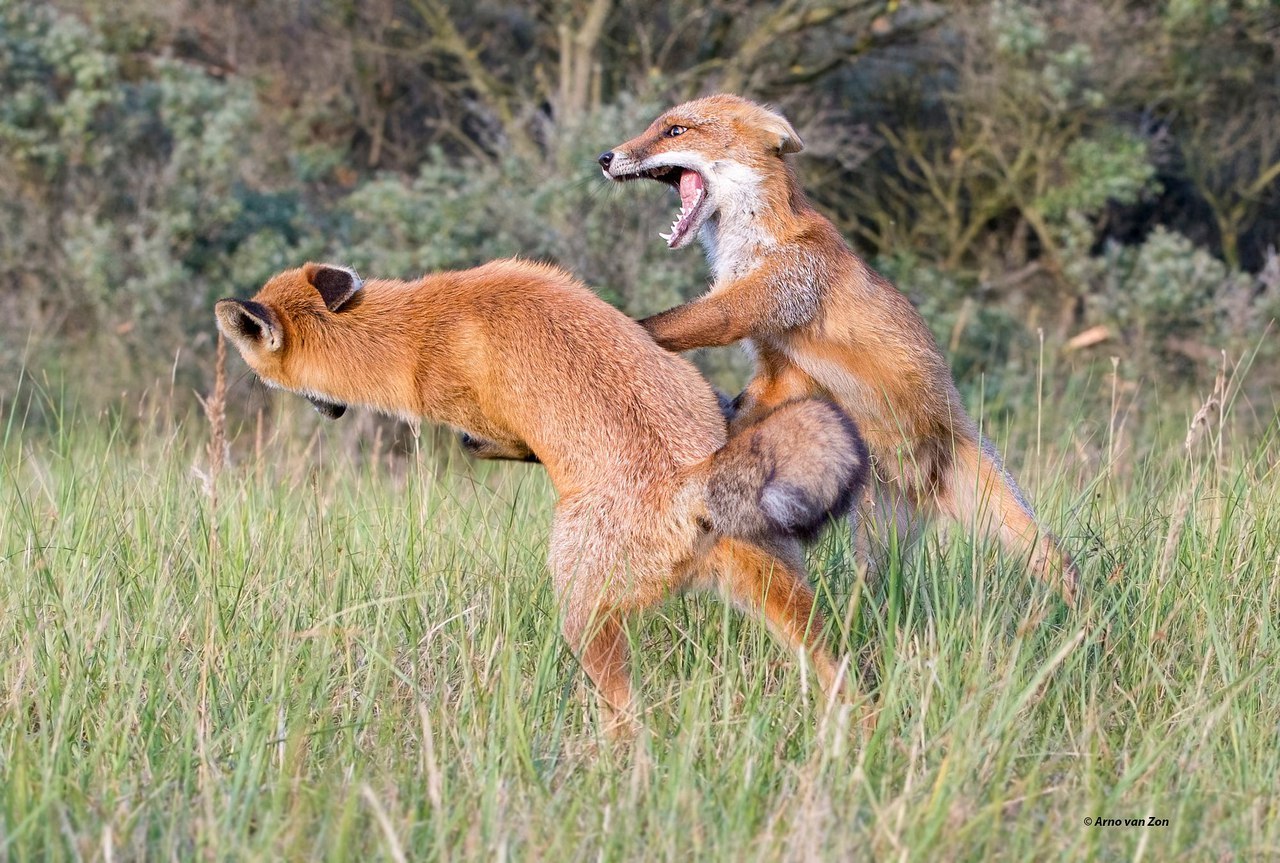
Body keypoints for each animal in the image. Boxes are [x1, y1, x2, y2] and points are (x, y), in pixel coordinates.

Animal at [215, 258, 870, 737]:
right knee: (840, 674)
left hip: (582, 611)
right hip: (790, 598)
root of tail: (693, 481)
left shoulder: (483, 421)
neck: (421, 331)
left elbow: (486, 443)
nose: (326, 411)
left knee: (628, 717)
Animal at [599, 94, 1080, 601]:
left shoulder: (766, 298)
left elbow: (662, 324)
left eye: (675, 130)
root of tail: (923, 488)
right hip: (877, 541)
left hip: (1010, 520)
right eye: (657, 126)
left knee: (1060, 565)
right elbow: (742, 413)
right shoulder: (782, 370)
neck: (751, 247)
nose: (605, 157)